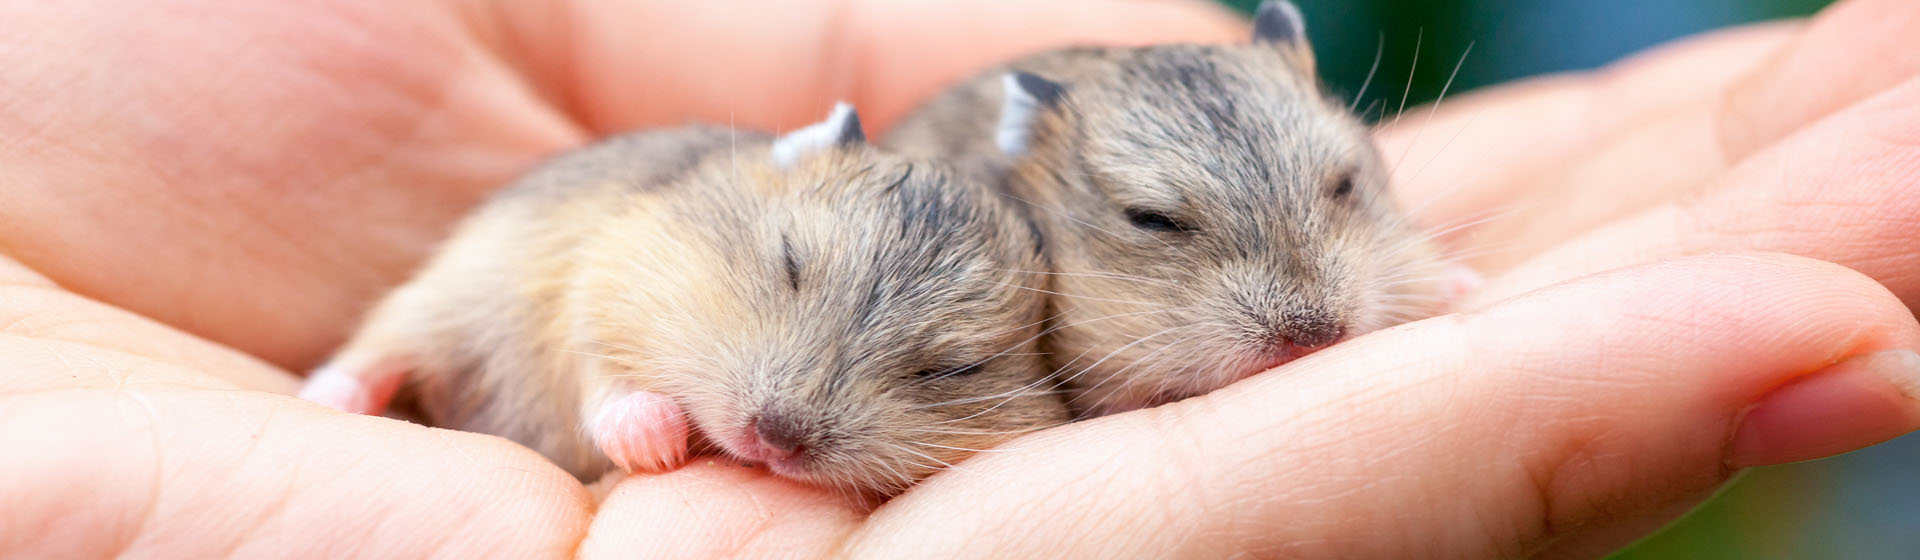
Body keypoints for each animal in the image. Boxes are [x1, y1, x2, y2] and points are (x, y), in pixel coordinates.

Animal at [300, 104, 1069, 496]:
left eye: (955, 370)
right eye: (788, 259)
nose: (775, 442)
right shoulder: (596, 287)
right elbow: (608, 387)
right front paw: (661, 448)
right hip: (445, 297)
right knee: (376, 351)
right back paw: (326, 401)